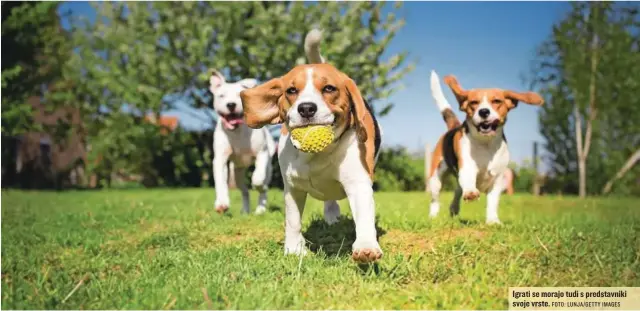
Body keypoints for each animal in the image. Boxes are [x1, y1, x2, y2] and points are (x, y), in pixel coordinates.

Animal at [210, 70, 276, 216]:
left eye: (238, 95)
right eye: (221, 96)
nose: (231, 104)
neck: (237, 131)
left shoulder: (262, 153)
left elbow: (258, 178)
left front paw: (258, 185)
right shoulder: (220, 159)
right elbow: (220, 182)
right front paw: (222, 203)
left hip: (268, 166)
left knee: (263, 186)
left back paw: (260, 209)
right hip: (237, 173)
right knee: (244, 191)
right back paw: (245, 211)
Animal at [238, 29, 382, 264]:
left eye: (329, 88)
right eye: (291, 90)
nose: (306, 108)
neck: (317, 155)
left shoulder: (358, 183)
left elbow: (363, 217)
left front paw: (366, 246)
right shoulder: (292, 188)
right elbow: (293, 221)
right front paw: (294, 249)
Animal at [428, 70, 544, 224]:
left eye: (496, 101)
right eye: (473, 102)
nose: (483, 112)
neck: (485, 144)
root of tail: (453, 127)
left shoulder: (497, 179)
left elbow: (492, 202)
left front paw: (493, 221)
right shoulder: (467, 167)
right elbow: (469, 181)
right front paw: (471, 193)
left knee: (457, 191)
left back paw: (454, 209)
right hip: (436, 178)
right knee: (435, 200)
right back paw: (433, 216)